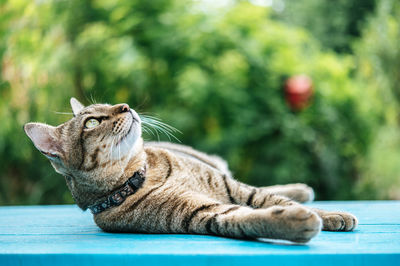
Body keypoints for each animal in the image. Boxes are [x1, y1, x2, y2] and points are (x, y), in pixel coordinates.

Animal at [23, 98, 358, 243]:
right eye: (91, 122)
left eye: (108, 104)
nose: (125, 106)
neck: (142, 175)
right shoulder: (204, 214)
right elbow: (247, 217)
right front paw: (295, 221)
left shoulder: (230, 187)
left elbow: (267, 199)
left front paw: (330, 214)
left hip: (218, 167)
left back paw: (303, 189)